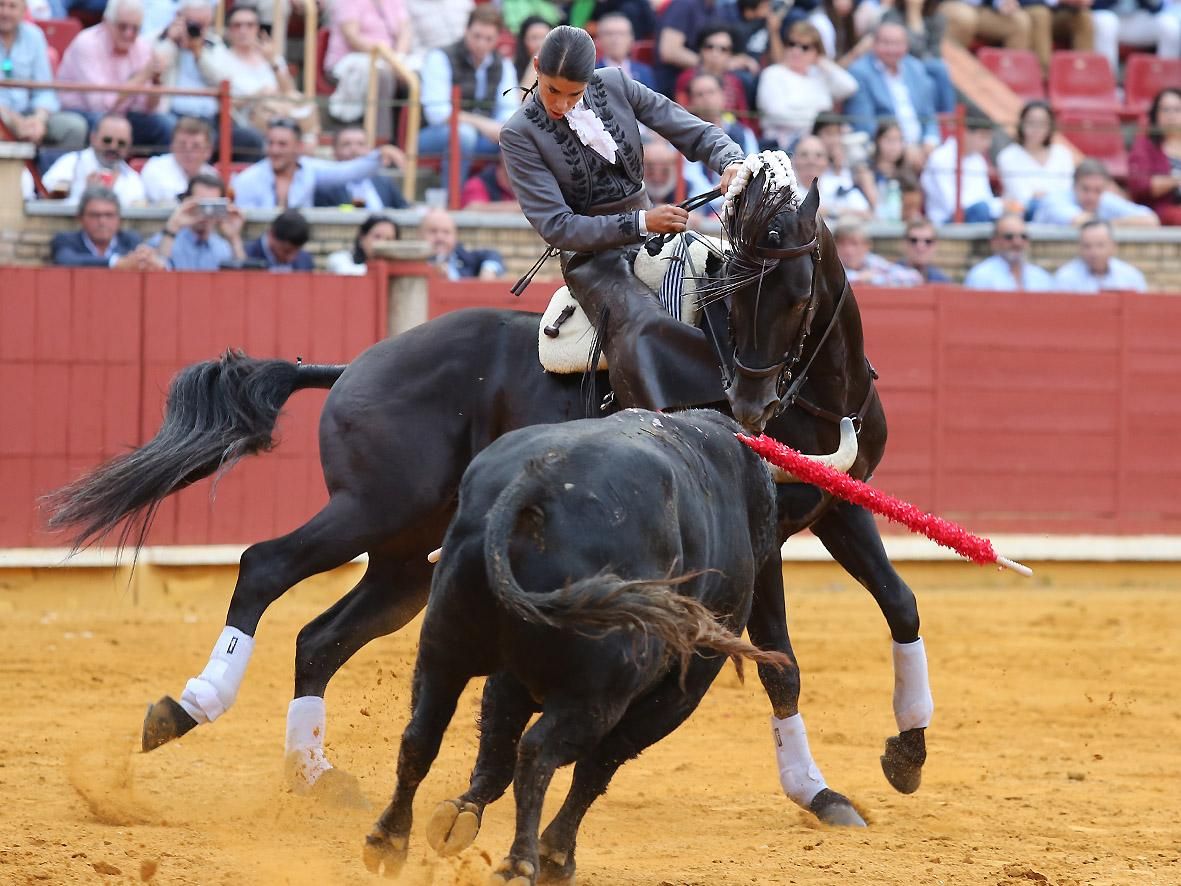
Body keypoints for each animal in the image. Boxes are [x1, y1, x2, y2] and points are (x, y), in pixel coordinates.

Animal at [48, 170, 930, 808]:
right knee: (264, 565)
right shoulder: (764, 535)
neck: (818, 394)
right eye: (726, 289)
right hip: (371, 510)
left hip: (405, 558)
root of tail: (356, 360)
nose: (749, 407)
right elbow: (780, 659)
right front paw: (814, 789)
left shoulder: (839, 509)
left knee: (321, 637)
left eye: (796, 292)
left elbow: (900, 605)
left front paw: (906, 751)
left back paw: (312, 773)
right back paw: (190, 705)